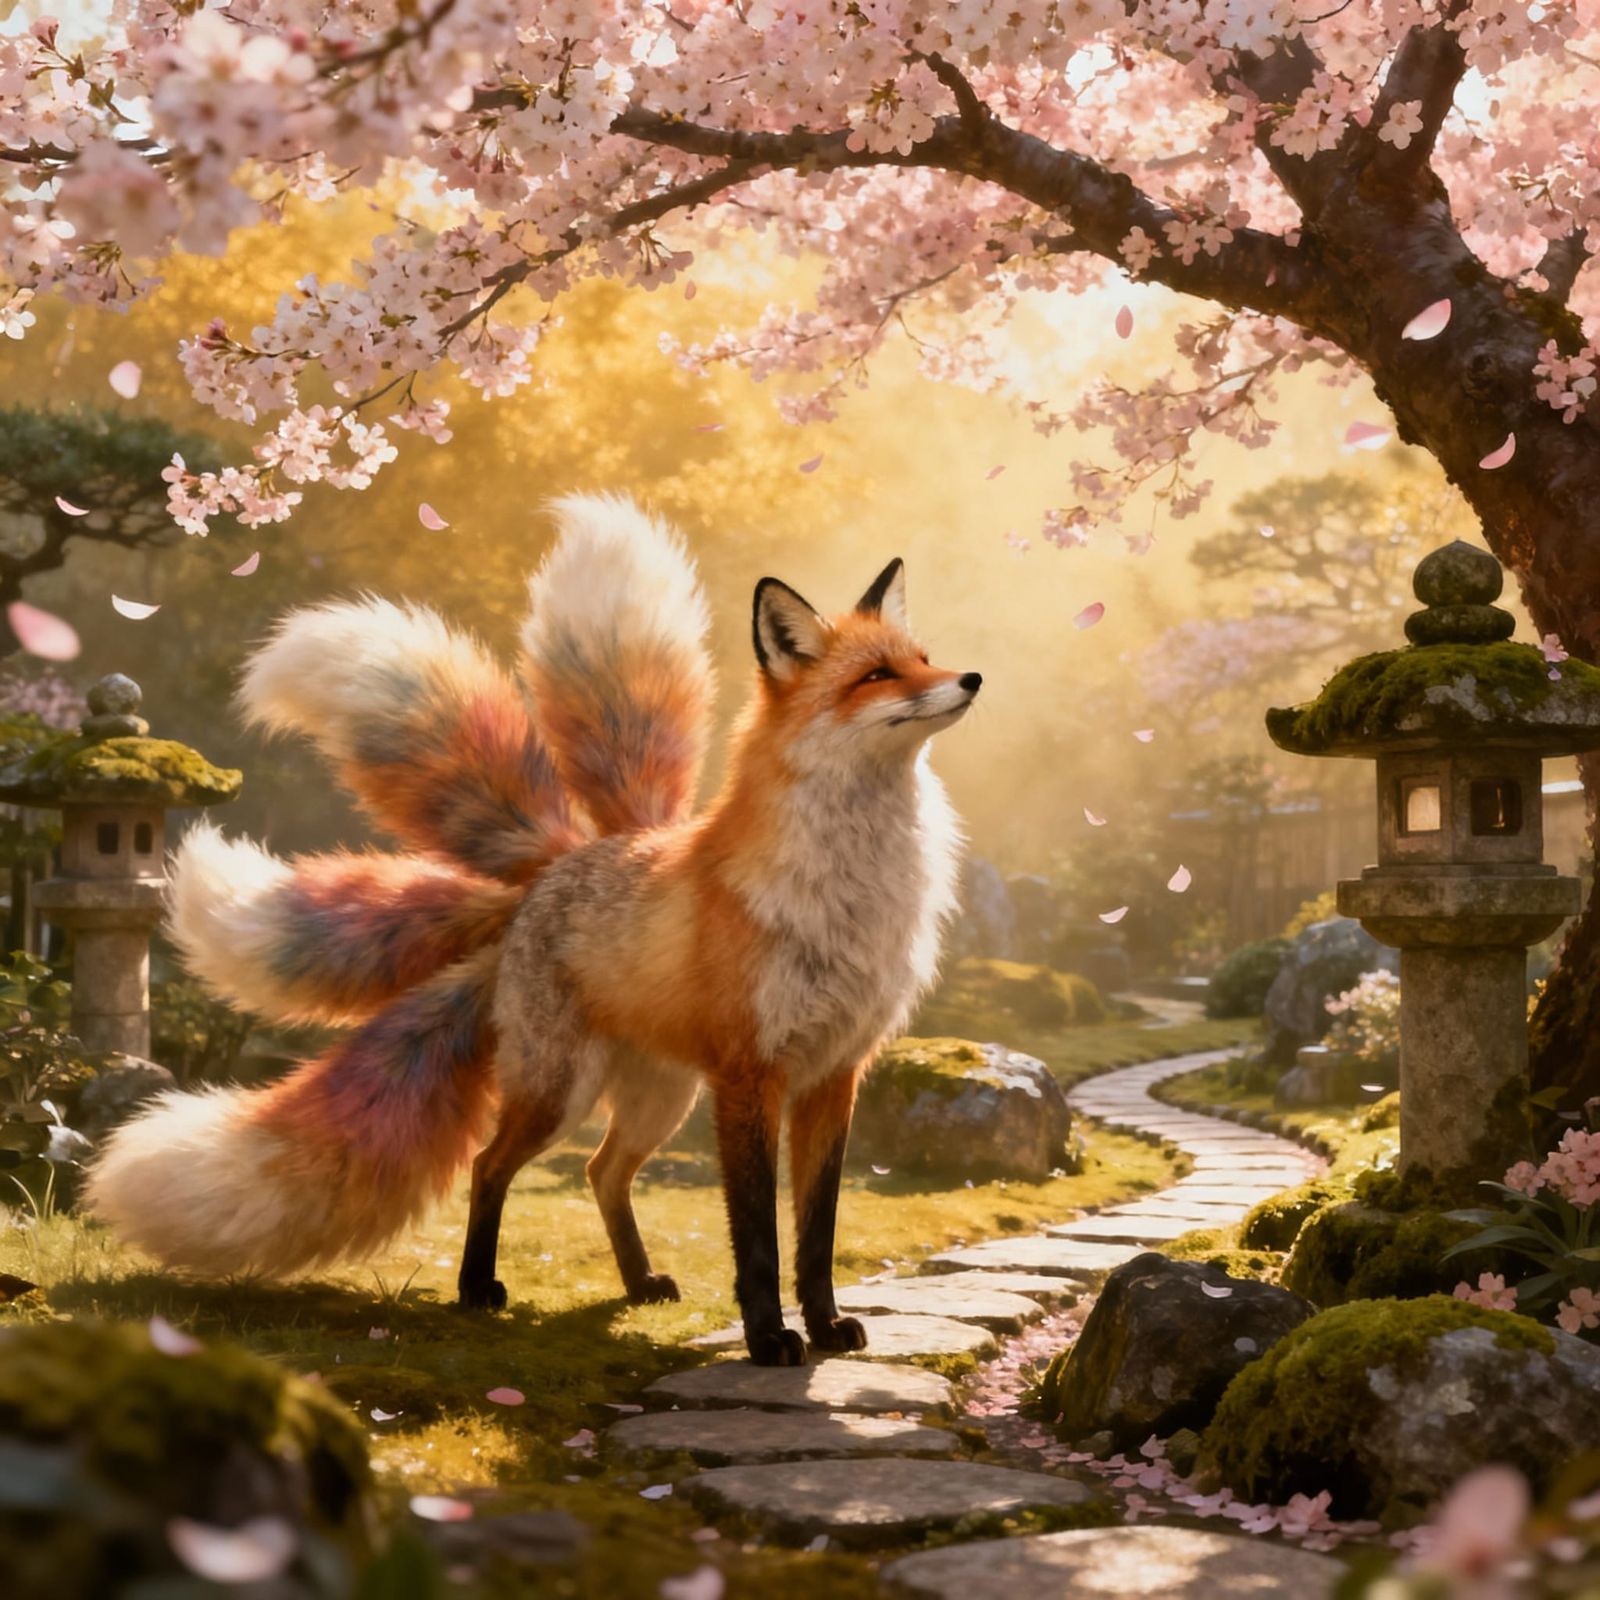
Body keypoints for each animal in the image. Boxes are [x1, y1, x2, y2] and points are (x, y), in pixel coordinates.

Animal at [87, 494, 980, 1365]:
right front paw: (768, 1339)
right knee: (491, 1164)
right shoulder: (752, 1075)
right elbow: (757, 1232)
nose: (971, 676)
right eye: (876, 676)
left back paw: (637, 1282)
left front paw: (825, 1327)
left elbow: (817, 1233)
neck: (854, 893)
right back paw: (476, 1289)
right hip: (566, 1088)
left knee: (601, 1171)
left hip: (662, 1097)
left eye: (924, 657)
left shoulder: (835, 1073)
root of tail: (551, 871)